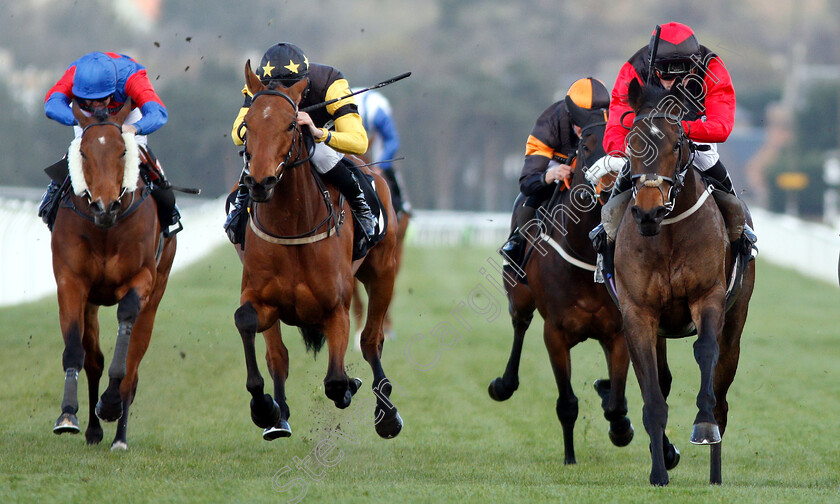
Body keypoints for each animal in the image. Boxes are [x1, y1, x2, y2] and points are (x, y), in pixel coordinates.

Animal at [51, 98, 176, 448]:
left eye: (122, 151)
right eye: (83, 152)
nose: (104, 206)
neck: (106, 229)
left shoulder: (142, 278)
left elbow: (126, 320)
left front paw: (109, 403)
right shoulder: (71, 282)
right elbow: (76, 349)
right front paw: (68, 414)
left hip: (157, 292)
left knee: (132, 367)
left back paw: (118, 432)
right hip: (92, 302)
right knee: (94, 359)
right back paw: (94, 429)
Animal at [230, 61, 400, 440]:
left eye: (292, 124)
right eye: (249, 127)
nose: (259, 182)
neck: (292, 226)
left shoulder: (336, 306)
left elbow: (336, 380)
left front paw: (350, 386)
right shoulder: (262, 298)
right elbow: (248, 323)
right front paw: (265, 408)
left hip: (384, 271)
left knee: (371, 340)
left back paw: (386, 413)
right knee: (278, 354)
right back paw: (278, 417)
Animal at [488, 105, 632, 464]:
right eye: (585, 146)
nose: (609, 184)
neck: (585, 253)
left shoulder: (618, 330)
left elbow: (617, 403)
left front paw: (621, 427)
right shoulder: (555, 332)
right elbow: (567, 404)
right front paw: (570, 457)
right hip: (519, 295)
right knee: (520, 326)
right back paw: (503, 385)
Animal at [612, 80, 756, 486]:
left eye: (677, 144)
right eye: (631, 142)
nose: (648, 212)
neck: (669, 234)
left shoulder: (708, 297)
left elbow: (705, 350)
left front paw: (704, 426)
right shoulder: (638, 314)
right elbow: (652, 394)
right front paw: (659, 470)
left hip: (736, 320)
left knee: (722, 388)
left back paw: (715, 468)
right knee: (661, 381)